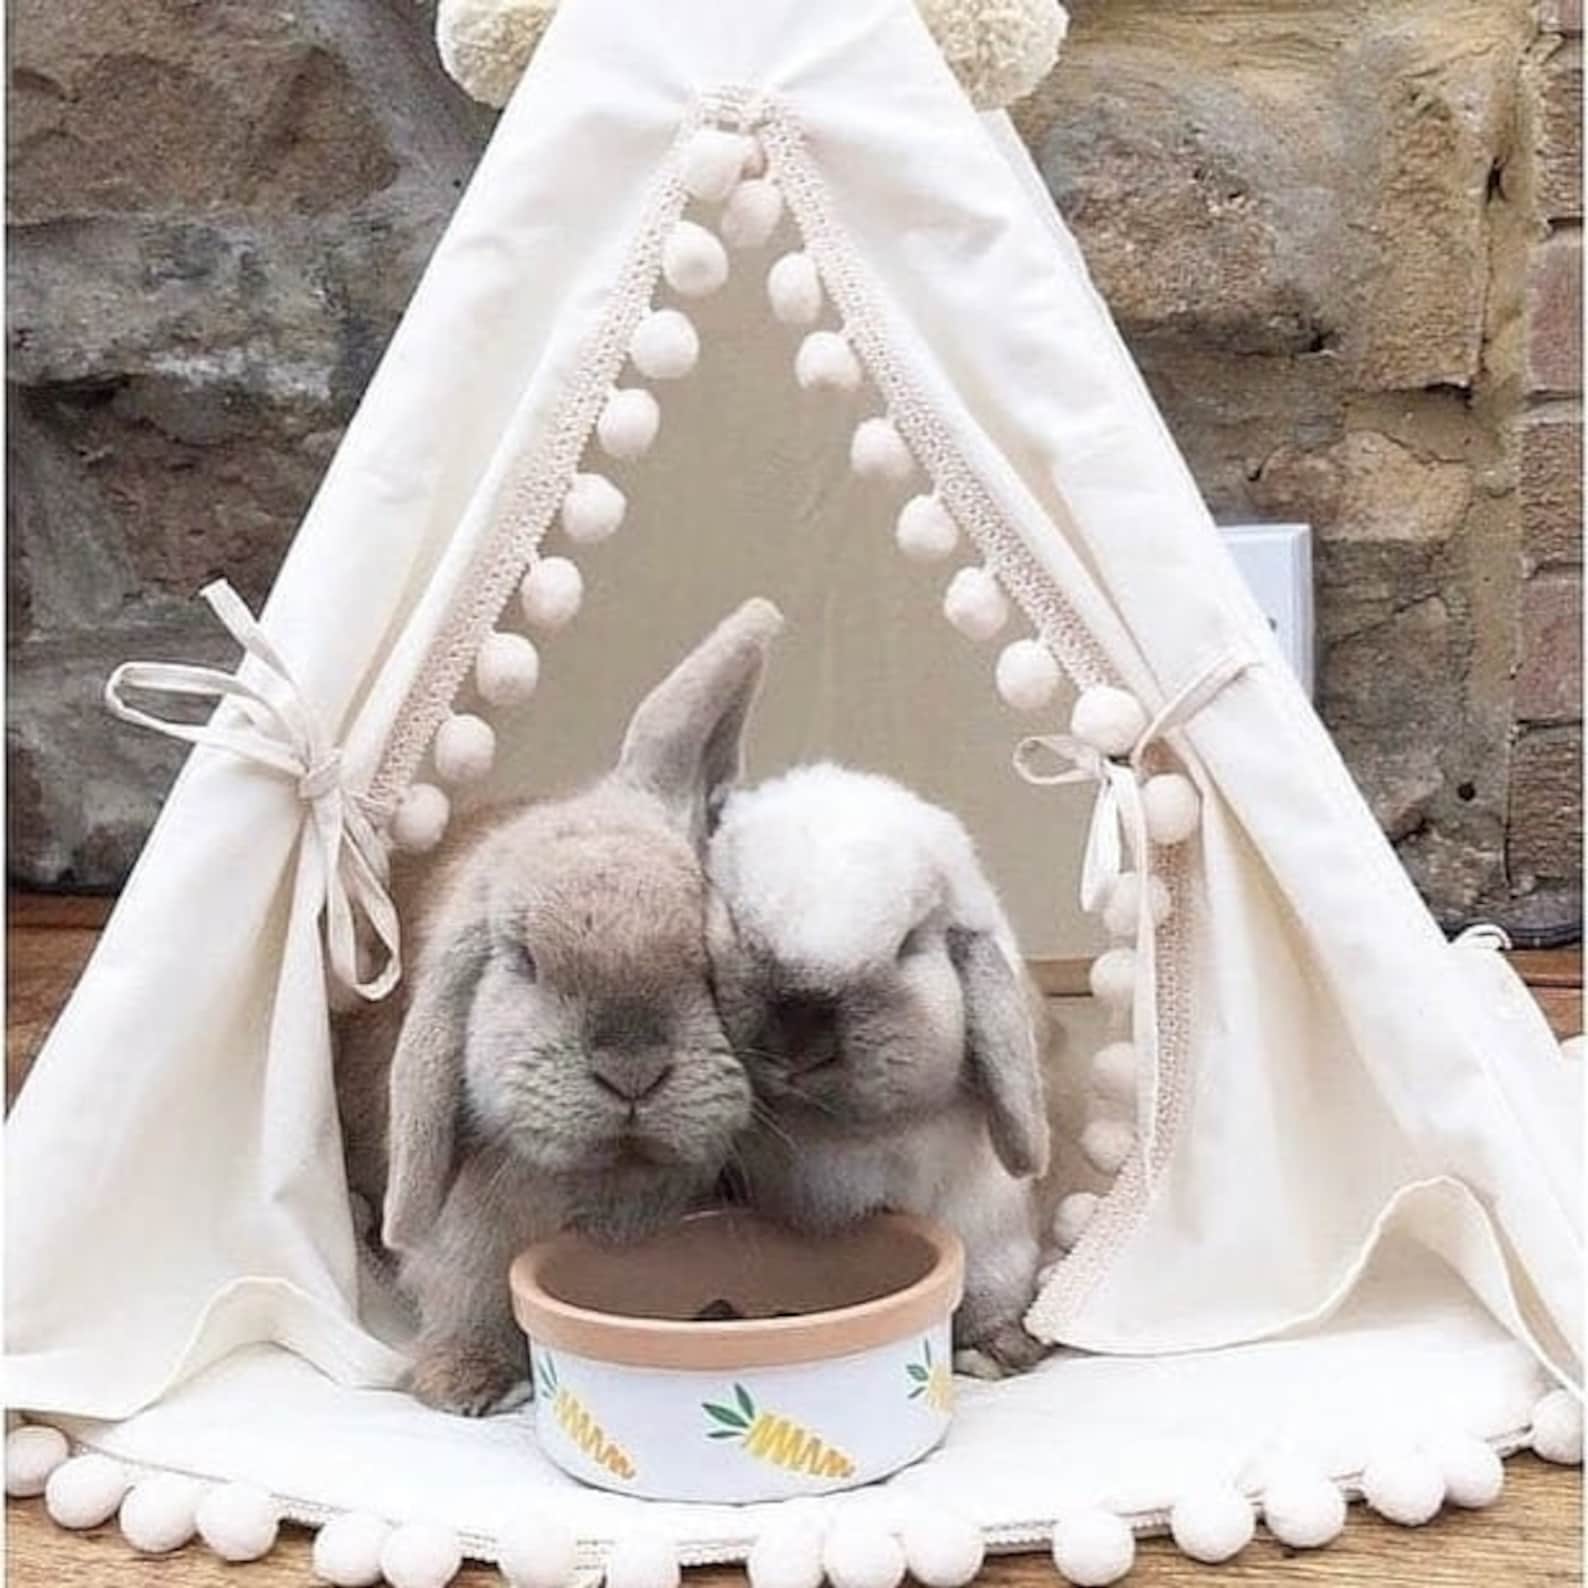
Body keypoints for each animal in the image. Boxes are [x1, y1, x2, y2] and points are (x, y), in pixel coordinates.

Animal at [334, 598, 783, 1414]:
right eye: (523, 960)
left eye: (710, 958)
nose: (632, 1069)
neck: (605, 1181)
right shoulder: (465, 1240)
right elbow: (465, 1295)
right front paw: (461, 1383)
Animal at [706, 762, 1054, 1377]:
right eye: (736, 922)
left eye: (909, 945)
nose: (799, 1050)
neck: (826, 1127)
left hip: (993, 1250)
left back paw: (997, 1352)